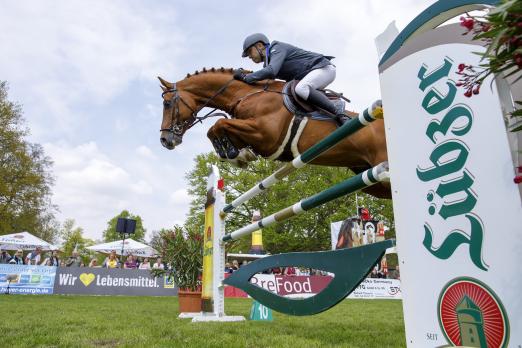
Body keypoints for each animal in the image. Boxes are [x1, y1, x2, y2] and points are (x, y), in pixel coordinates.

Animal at [158, 68, 390, 198]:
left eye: (167, 103)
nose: (165, 140)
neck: (247, 94)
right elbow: (216, 129)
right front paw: (237, 154)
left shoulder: (265, 135)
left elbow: (218, 124)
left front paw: (235, 155)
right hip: (371, 179)